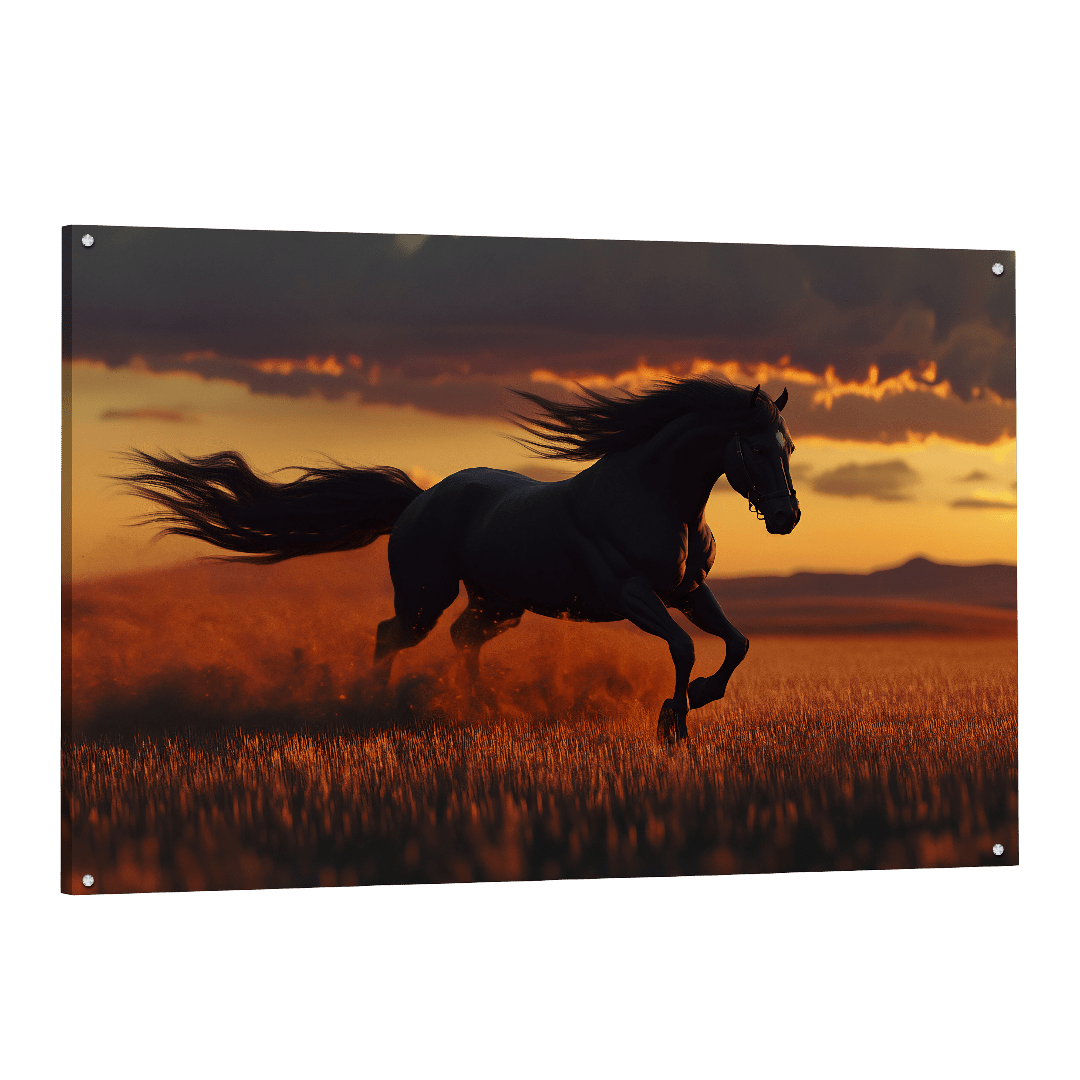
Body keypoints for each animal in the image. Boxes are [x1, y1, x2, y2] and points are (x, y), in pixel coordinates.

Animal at [119, 377, 800, 742]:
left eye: (788, 446)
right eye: (755, 447)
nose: (788, 518)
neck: (652, 495)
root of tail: (418, 500)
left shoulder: (689, 592)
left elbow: (737, 643)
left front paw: (699, 700)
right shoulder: (632, 593)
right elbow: (684, 647)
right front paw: (673, 720)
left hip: (499, 604)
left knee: (462, 638)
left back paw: (483, 707)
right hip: (427, 595)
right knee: (391, 634)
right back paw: (375, 705)